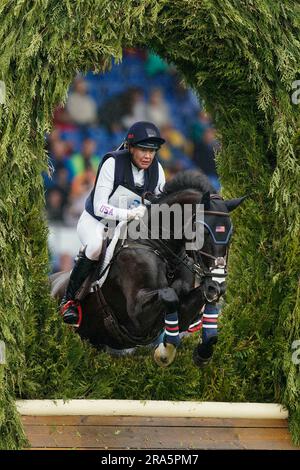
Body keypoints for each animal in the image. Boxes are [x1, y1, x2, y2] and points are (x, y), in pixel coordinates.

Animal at [50, 172, 245, 368]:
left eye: (230, 233)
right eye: (203, 232)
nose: (216, 284)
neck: (159, 248)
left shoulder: (183, 311)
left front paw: (203, 351)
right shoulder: (137, 314)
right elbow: (169, 295)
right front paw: (166, 351)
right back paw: (69, 309)